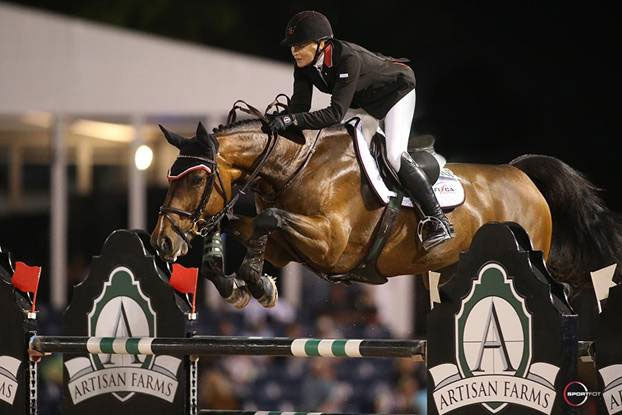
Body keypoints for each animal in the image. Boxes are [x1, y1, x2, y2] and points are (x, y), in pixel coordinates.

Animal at [151, 110, 622, 308]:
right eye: (170, 176)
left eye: (196, 179)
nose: (162, 243)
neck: (295, 166)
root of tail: (521, 174)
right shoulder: (288, 248)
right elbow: (246, 229)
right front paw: (234, 282)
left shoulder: (331, 245)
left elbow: (267, 218)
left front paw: (256, 283)